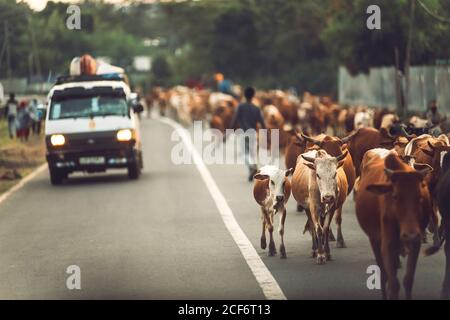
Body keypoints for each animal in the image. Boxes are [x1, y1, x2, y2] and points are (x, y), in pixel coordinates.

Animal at [356, 150, 432, 300]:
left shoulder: (415, 243)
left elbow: (408, 280)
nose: (410, 234)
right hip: (374, 240)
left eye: (420, 196)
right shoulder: (387, 244)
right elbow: (393, 283)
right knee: (384, 276)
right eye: (395, 196)